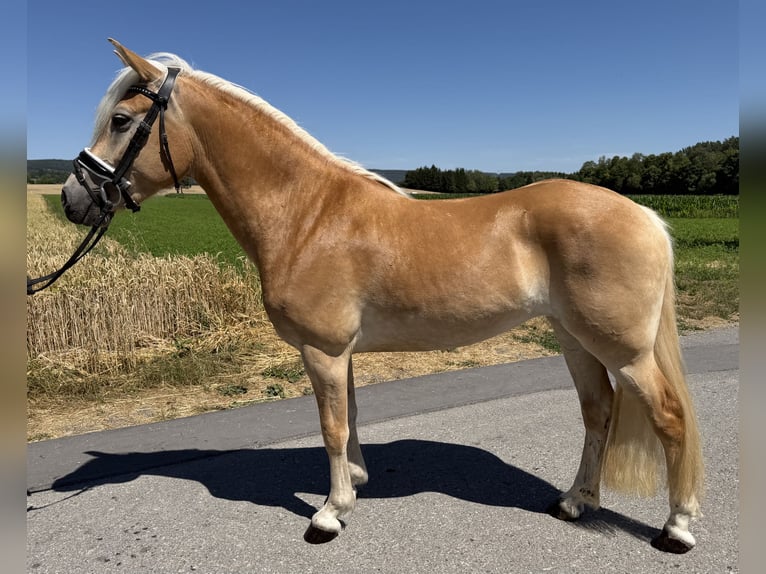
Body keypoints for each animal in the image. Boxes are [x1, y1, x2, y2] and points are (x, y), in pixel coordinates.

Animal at [60, 39, 704, 553]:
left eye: (122, 120)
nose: (73, 198)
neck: (308, 214)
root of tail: (645, 214)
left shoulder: (322, 350)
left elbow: (331, 427)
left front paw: (328, 515)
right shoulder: (337, 352)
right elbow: (349, 418)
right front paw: (355, 487)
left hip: (625, 351)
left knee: (669, 417)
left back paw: (676, 528)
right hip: (574, 340)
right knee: (599, 412)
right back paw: (575, 502)